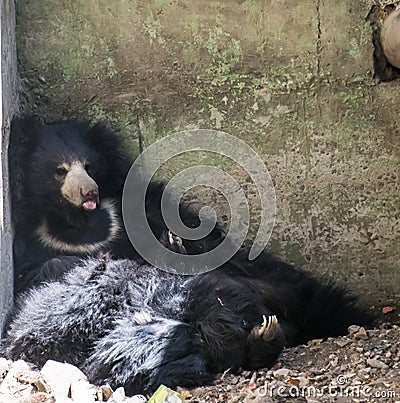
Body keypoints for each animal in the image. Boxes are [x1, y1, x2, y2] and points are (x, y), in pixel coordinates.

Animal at [3, 116, 372, 394]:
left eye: (89, 166)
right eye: (60, 170)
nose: (89, 191)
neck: (76, 222)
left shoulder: (135, 206)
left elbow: (198, 237)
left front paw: (177, 243)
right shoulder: (35, 247)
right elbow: (45, 272)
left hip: (271, 288)